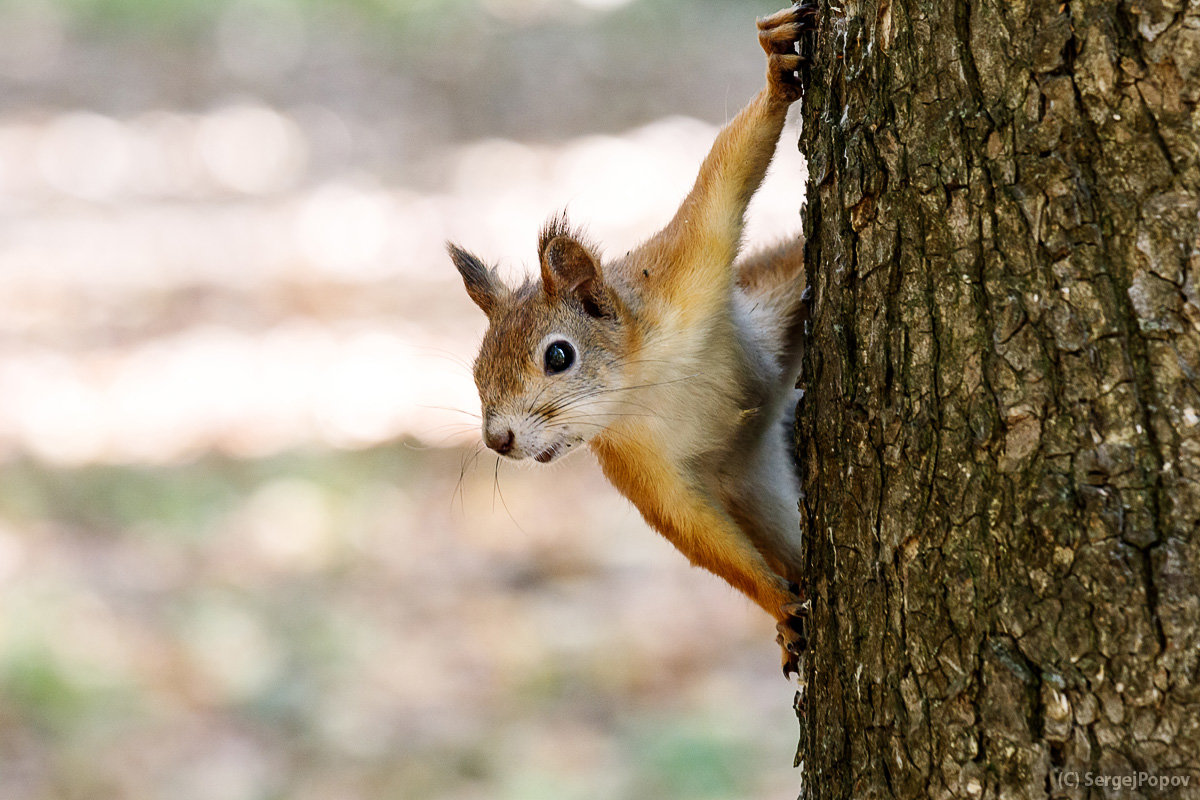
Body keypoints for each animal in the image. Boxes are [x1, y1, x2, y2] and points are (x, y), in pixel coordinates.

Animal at [448, 4, 816, 676]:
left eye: (559, 355)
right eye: (477, 370)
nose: (497, 440)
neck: (646, 379)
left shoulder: (686, 266)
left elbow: (724, 176)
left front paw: (777, 68)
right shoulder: (636, 464)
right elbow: (693, 532)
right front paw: (780, 608)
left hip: (771, 298)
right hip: (757, 490)